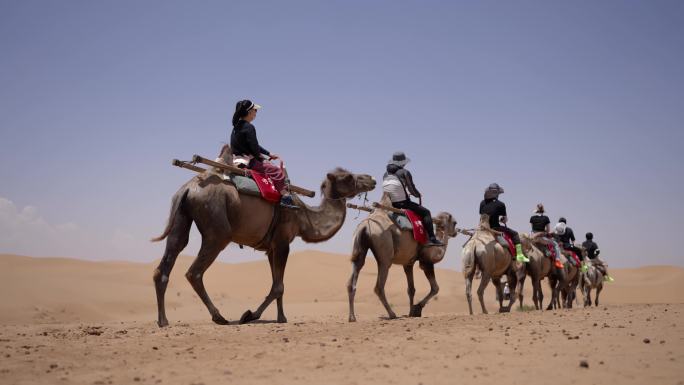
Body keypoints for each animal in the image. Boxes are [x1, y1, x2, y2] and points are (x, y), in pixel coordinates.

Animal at [151, 146, 374, 326]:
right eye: (348, 177)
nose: (371, 178)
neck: (304, 216)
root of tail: (189, 188)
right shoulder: (283, 241)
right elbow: (277, 286)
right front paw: (249, 315)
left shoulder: (271, 248)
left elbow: (277, 283)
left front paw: (281, 318)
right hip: (217, 229)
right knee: (194, 272)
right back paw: (219, 317)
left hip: (182, 216)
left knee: (171, 254)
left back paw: (163, 320)